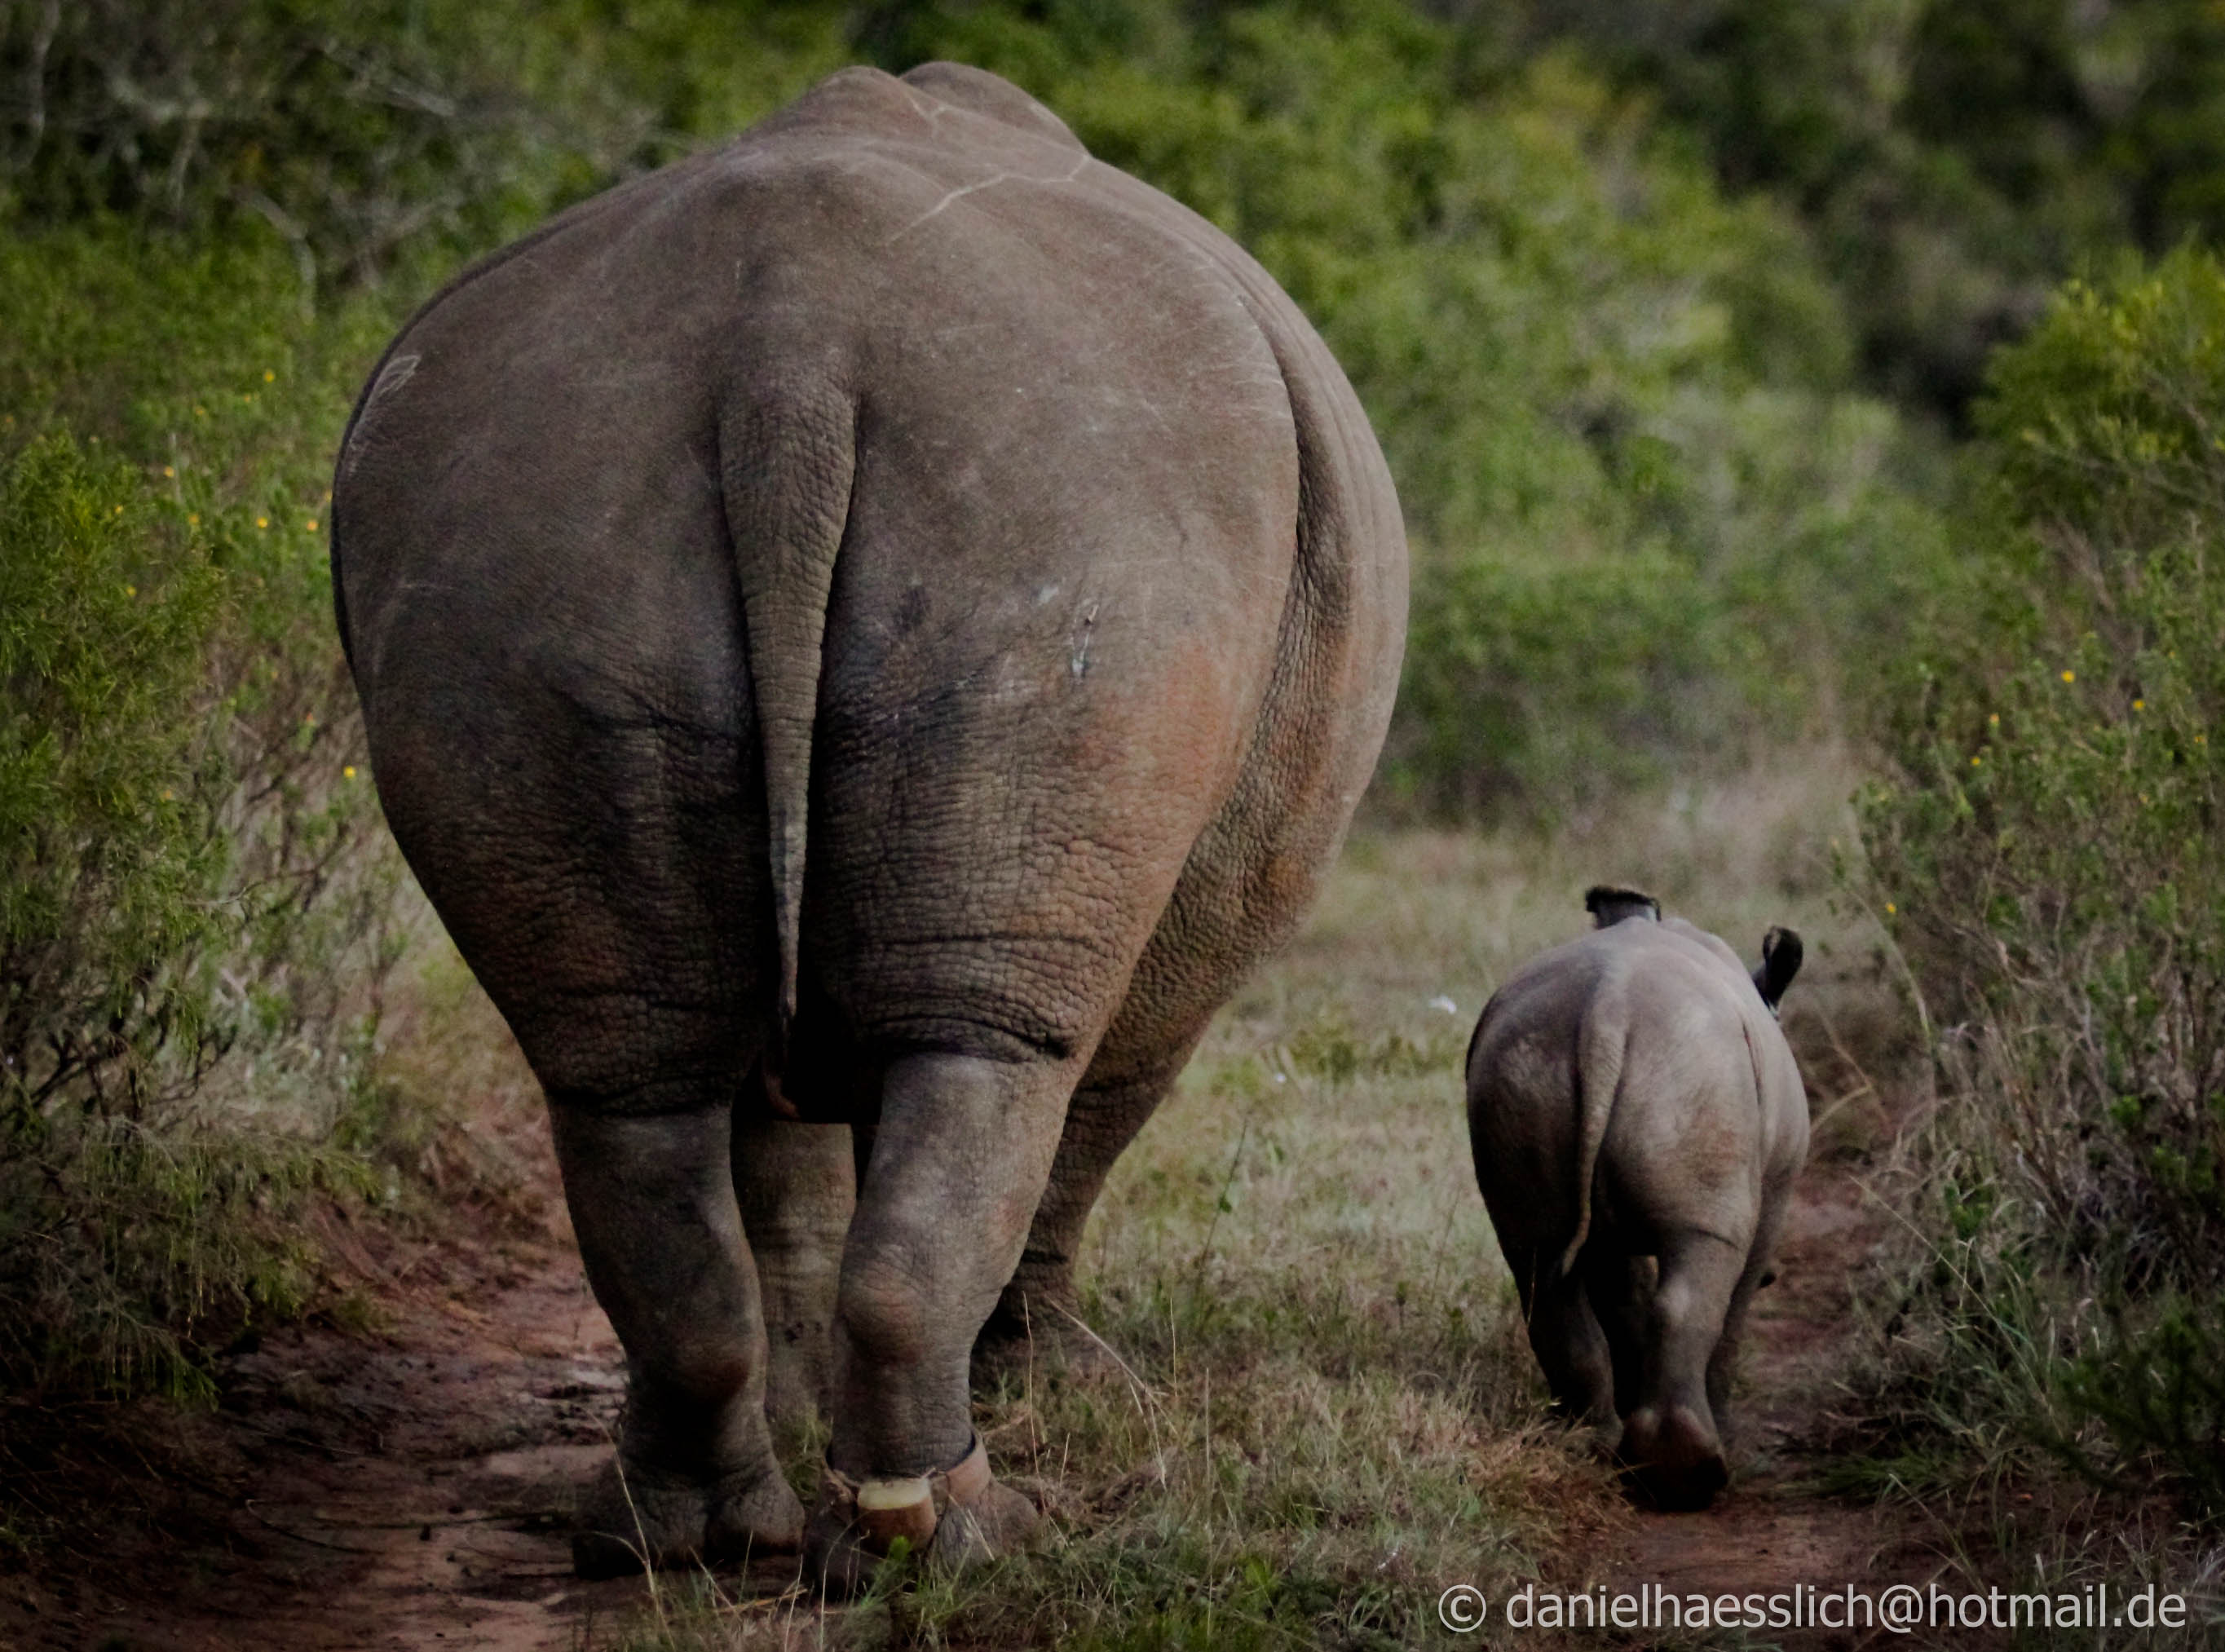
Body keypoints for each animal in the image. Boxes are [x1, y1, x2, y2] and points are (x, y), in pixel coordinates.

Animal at [327, 61, 1397, 1594]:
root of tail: (792, 357)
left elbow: (777, 1165)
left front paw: (799, 1403)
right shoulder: (1200, 896)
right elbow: (1092, 1108)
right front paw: (1060, 1386)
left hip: (513, 529)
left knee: (627, 1074)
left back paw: (682, 1536)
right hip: (1086, 537)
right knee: (1001, 1056)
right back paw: (953, 1533)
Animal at [1459, 894, 1806, 1513]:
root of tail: (1608, 1010)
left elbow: (1620, 1294)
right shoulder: (1777, 1191)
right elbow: (1734, 1306)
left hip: (1523, 1069)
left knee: (1536, 1258)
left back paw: (1593, 1446)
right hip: (1697, 1073)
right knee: (1702, 1263)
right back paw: (1689, 1473)